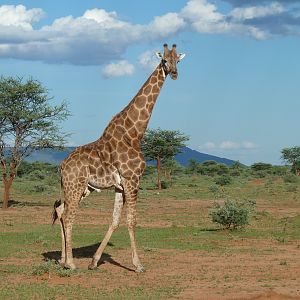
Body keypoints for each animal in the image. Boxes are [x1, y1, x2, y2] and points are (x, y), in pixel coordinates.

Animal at [52, 44, 185, 272]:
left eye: (178, 60)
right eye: (164, 60)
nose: (174, 74)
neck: (135, 133)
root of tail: (61, 166)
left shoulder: (120, 185)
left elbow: (114, 220)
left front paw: (94, 261)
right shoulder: (133, 179)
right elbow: (132, 221)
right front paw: (138, 265)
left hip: (80, 188)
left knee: (61, 211)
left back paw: (62, 260)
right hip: (75, 185)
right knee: (68, 215)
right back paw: (70, 263)